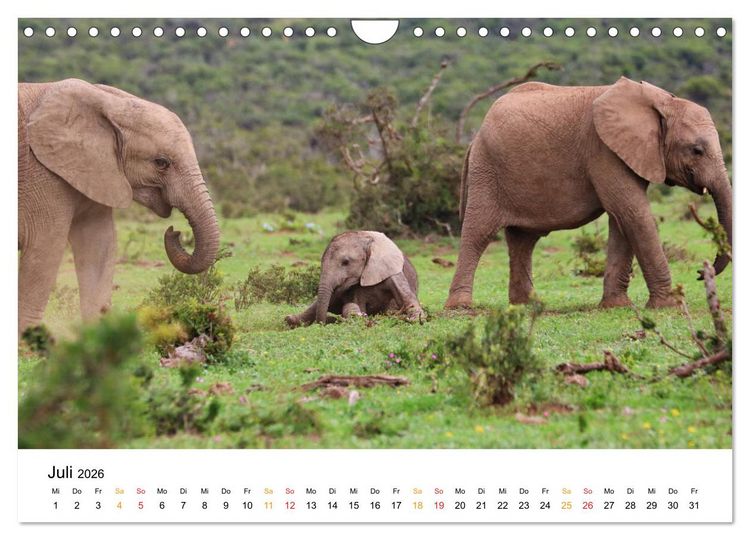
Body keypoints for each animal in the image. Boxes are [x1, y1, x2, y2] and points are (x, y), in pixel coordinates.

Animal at [18, 78, 220, 333]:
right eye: (161, 162)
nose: (174, 231)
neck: (108, 101)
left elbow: (99, 245)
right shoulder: (42, 175)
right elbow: (44, 249)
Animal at [285, 231, 424, 327]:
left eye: (345, 262)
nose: (321, 324)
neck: (367, 239)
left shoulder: (390, 270)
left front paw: (415, 318)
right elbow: (354, 303)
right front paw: (358, 315)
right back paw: (290, 320)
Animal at [445, 76, 732, 310]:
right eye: (697, 150)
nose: (700, 272)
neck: (662, 102)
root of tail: (475, 137)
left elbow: (622, 220)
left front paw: (616, 306)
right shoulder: (604, 151)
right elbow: (633, 213)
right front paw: (670, 306)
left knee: (523, 240)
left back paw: (528, 305)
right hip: (487, 170)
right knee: (478, 233)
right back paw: (460, 307)